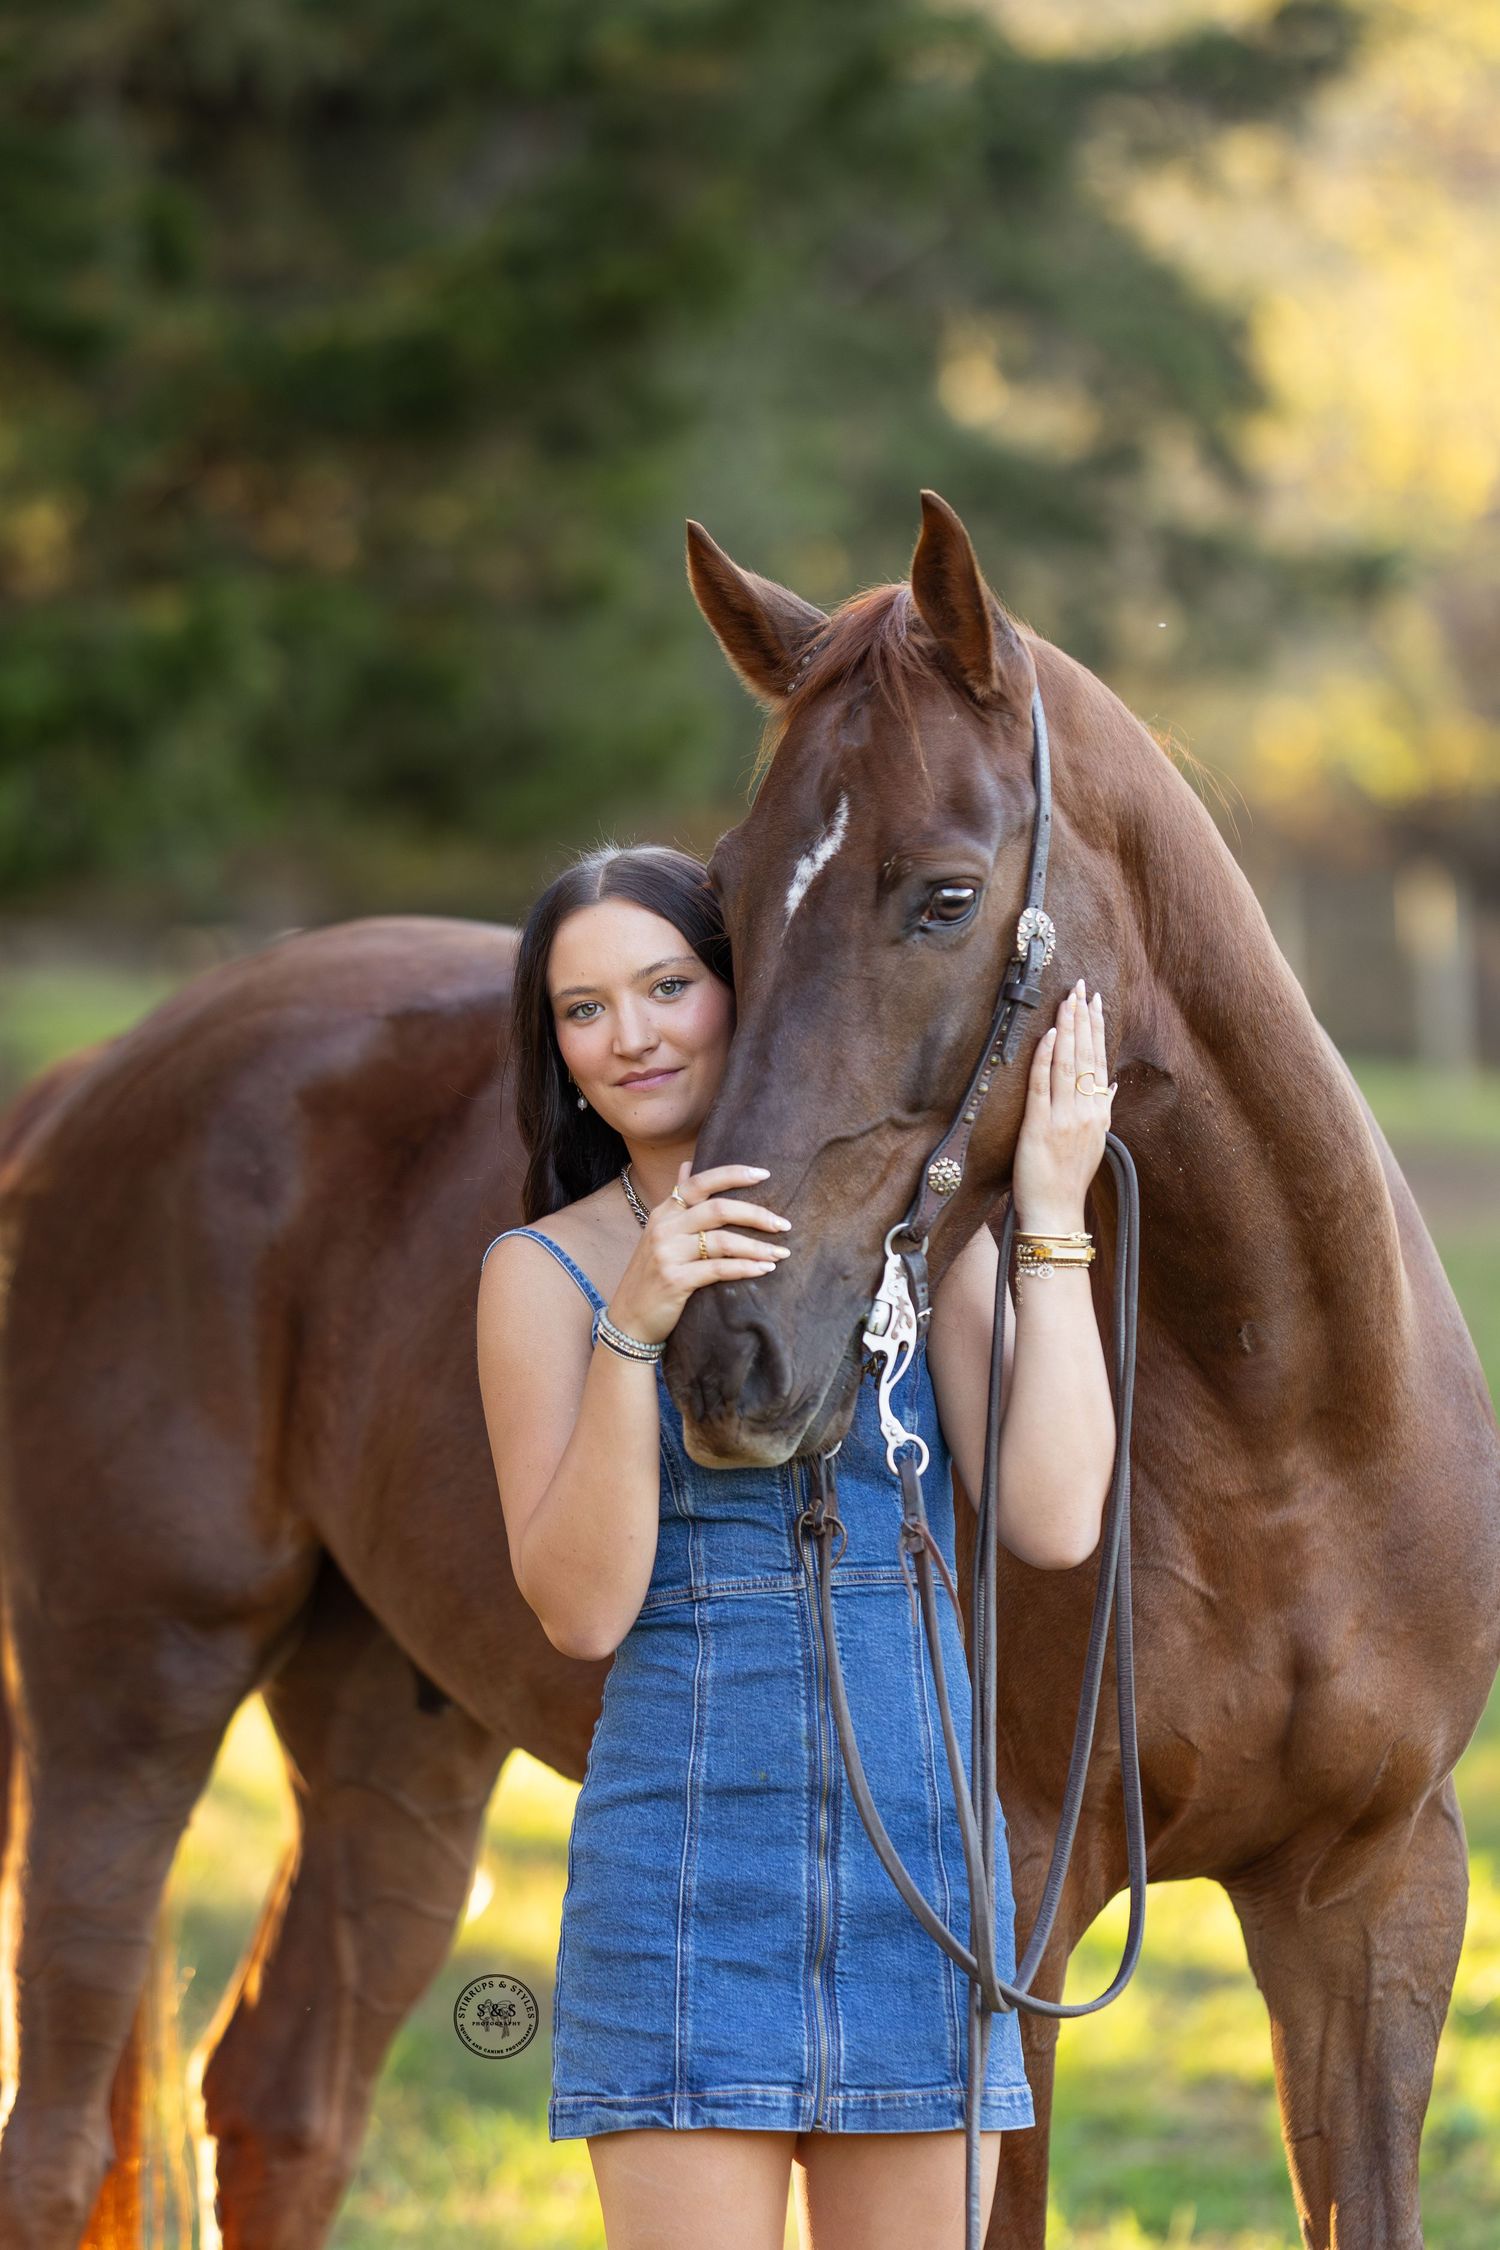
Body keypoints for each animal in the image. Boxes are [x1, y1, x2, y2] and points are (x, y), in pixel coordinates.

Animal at [0, 487, 1493, 2249]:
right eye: (721, 898)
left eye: (943, 896)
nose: (730, 1357)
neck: (1286, 1434)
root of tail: (111, 1069)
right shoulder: (1013, 1940)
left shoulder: (1376, 1894)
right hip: (133, 1690)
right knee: (61, 2132)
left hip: (390, 1720)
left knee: (281, 2100)